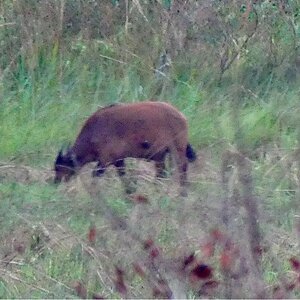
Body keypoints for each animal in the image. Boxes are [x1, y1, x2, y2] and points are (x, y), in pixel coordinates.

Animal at [54, 99, 197, 196]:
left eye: (60, 167)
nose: (55, 182)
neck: (95, 131)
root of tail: (180, 115)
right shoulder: (118, 160)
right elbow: (122, 175)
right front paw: (130, 191)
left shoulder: (105, 160)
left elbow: (95, 174)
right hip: (161, 155)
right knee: (162, 172)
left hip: (176, 150)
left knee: (181, 167)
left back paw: (182, 192)